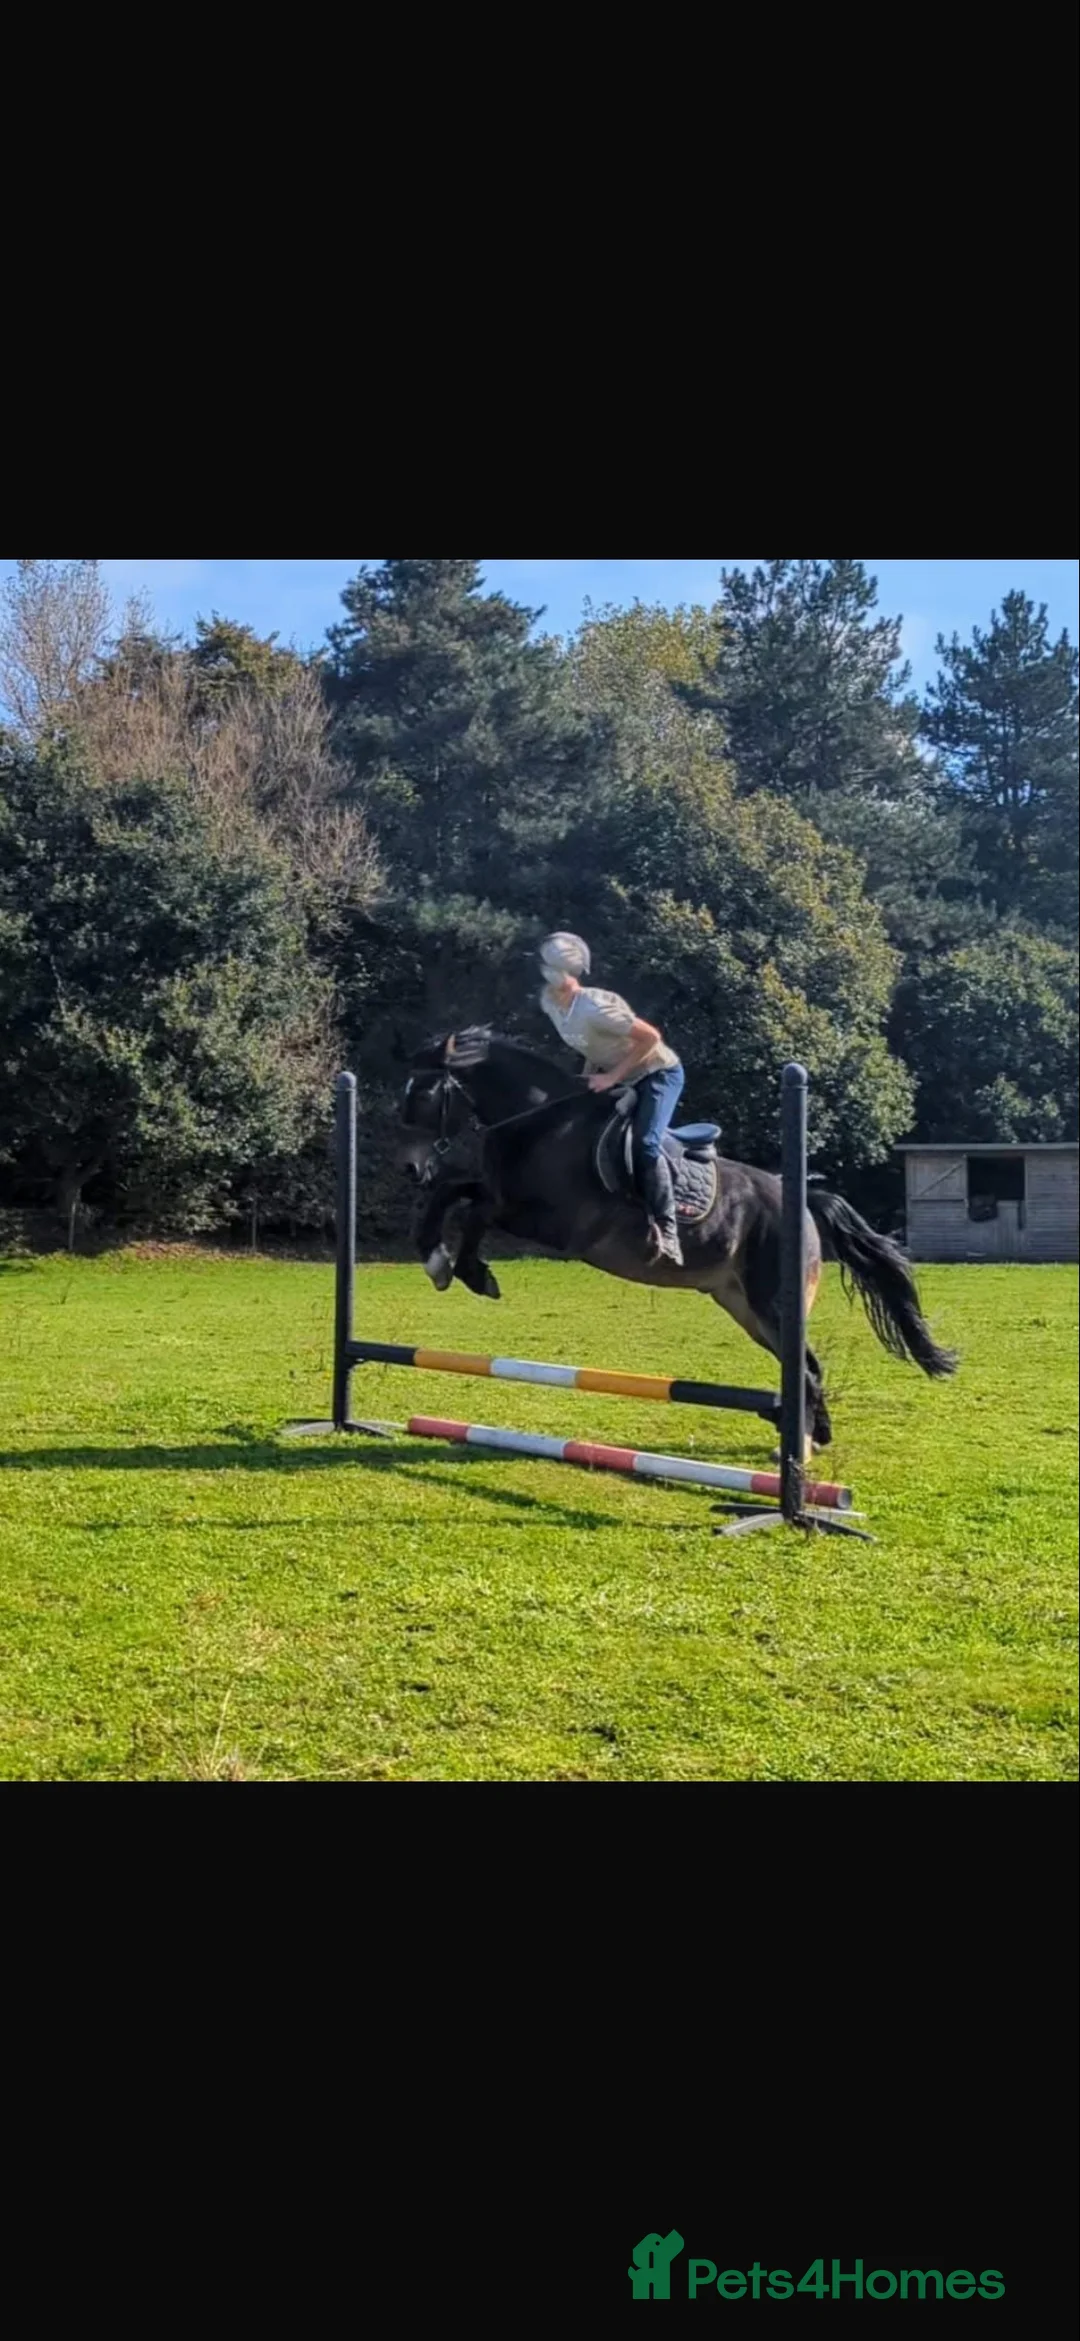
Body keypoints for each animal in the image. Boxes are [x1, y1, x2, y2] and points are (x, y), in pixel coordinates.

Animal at [396, 1028, 956, 1455]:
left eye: (421, 1095)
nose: (409, 1169)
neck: (544, 1123)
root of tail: (804, 1201)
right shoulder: (505, 1195)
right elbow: (455, 1192)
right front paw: (436, 1258)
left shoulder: (554, 1223)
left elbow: (473, 1207)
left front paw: (469, 1271)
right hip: (744, 1308)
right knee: (804, 1368)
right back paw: (804, 1437)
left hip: (774, 1303)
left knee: (807, 1370)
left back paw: (800, 1450)